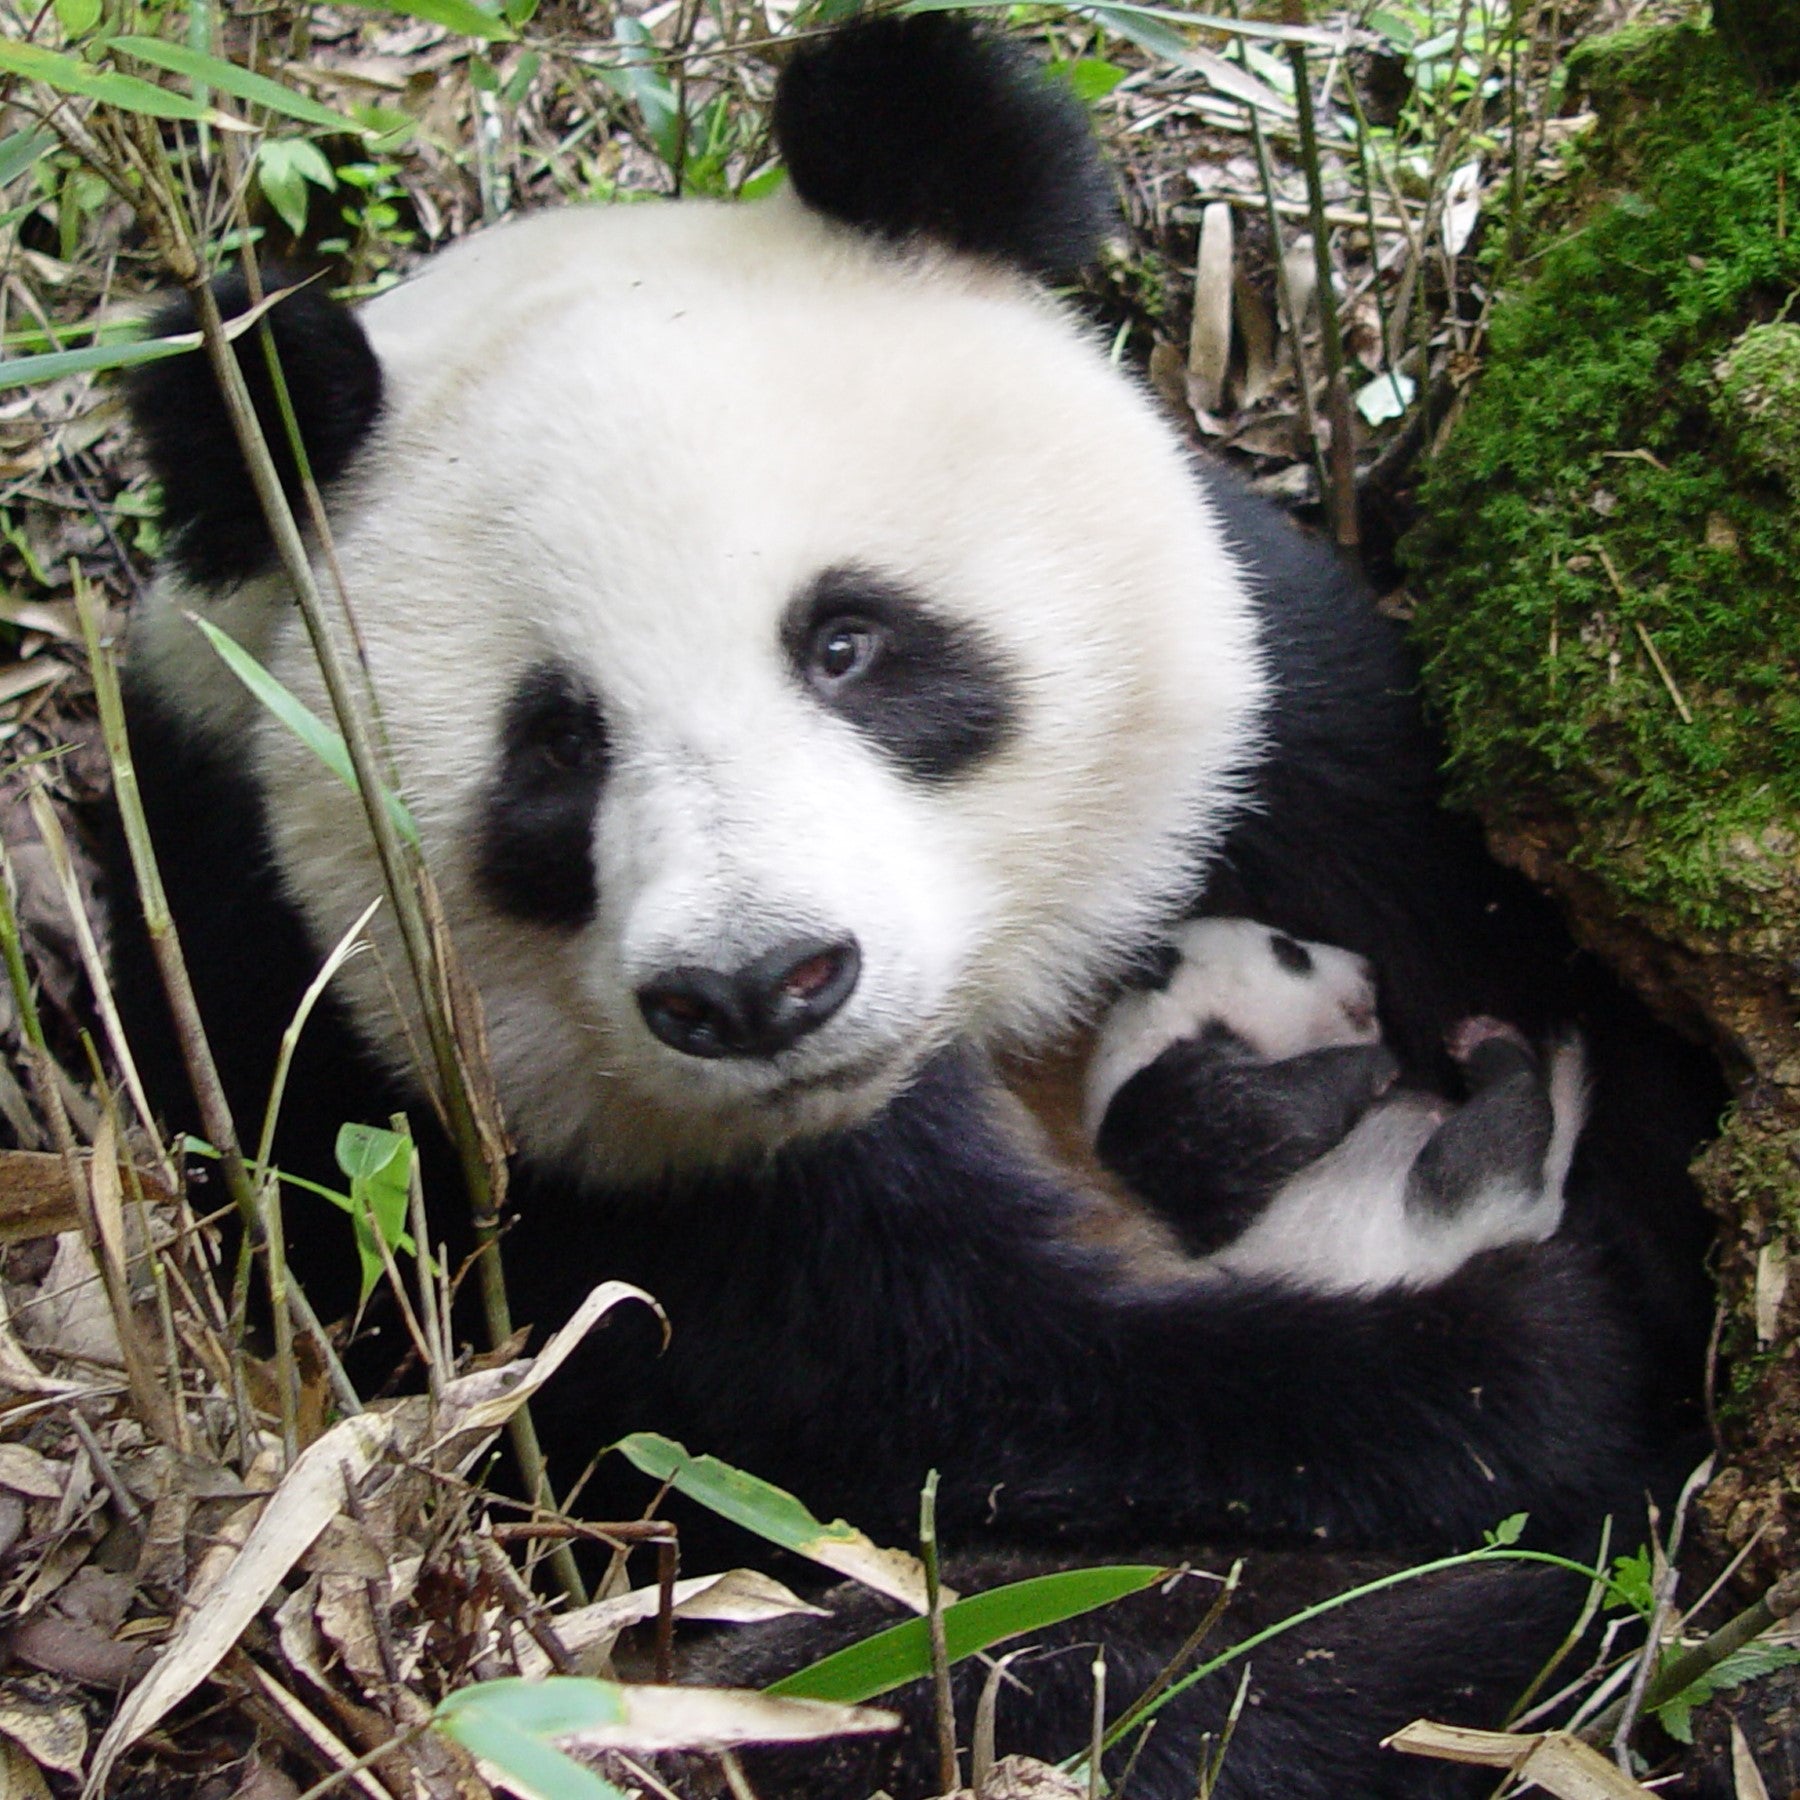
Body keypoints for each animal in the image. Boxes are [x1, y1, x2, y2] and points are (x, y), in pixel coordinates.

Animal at [105, 17, 1720, 1800]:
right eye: (556, 748)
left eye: (849, 644)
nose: (760, 987)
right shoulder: (395, 1072)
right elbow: (956, 1400)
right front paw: (1516, 1365)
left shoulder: (1297, 743)